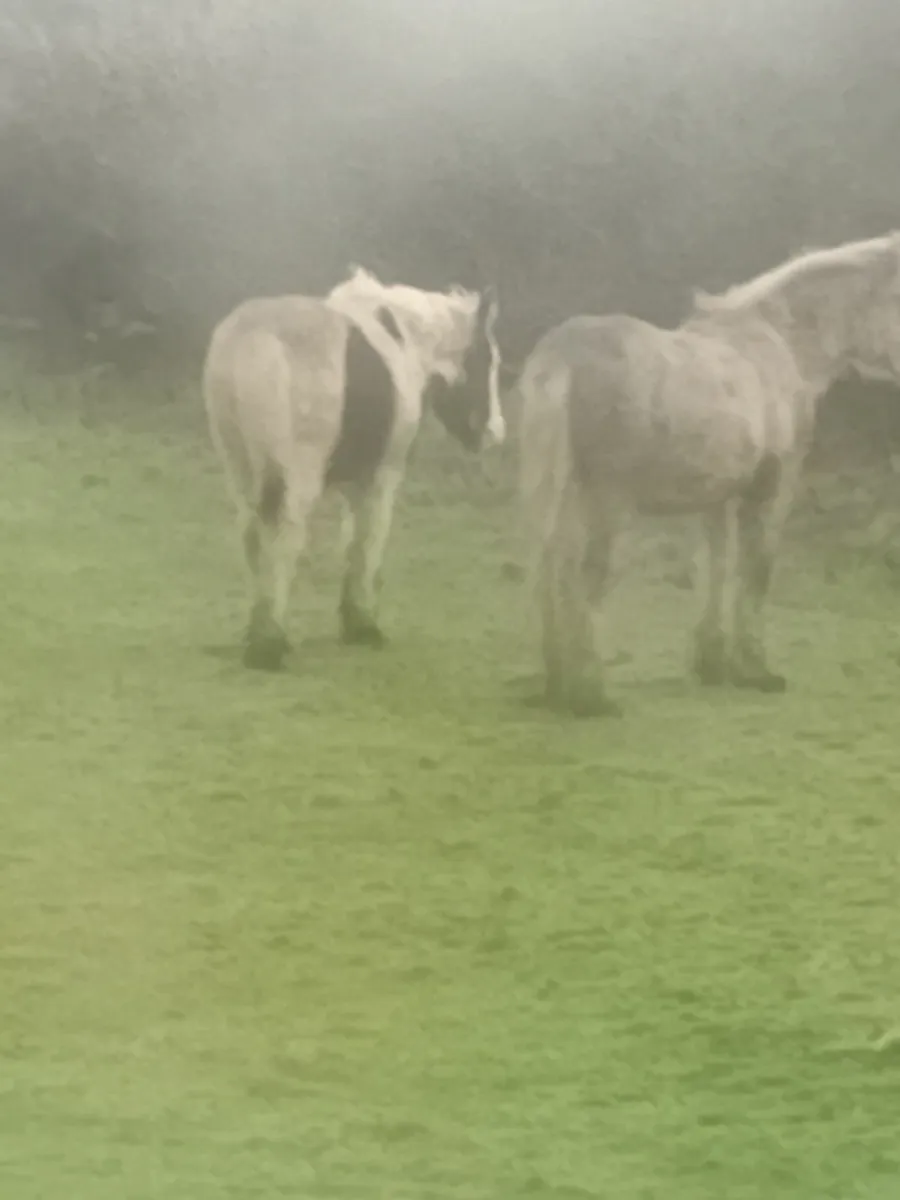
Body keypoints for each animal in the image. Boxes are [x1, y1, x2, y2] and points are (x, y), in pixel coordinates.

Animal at [203, 266, 504, 670]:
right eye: (489, 360)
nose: (495, 432)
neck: (403, 342)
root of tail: (253, 339)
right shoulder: (381, 475)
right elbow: (367, 542)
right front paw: (363, 625)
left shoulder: (353, 480)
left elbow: (350, 543)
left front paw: (351, 620)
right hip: (296, 479)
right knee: (285, 539)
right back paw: (271, 643)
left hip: (240, 472)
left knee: (250, 537)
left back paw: (258, 630)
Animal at [516, 232, 900, 716]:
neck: (782, 342)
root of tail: (563, 355)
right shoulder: (772, 487)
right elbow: (756, 569)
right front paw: (755, 670)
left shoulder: (719, 497)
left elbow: (716, 567)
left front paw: (713, 664)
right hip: (605, 503)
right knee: (584, 578)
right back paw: (590, 695)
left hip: (550, 495)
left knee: (546, 570)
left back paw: (555, 682)